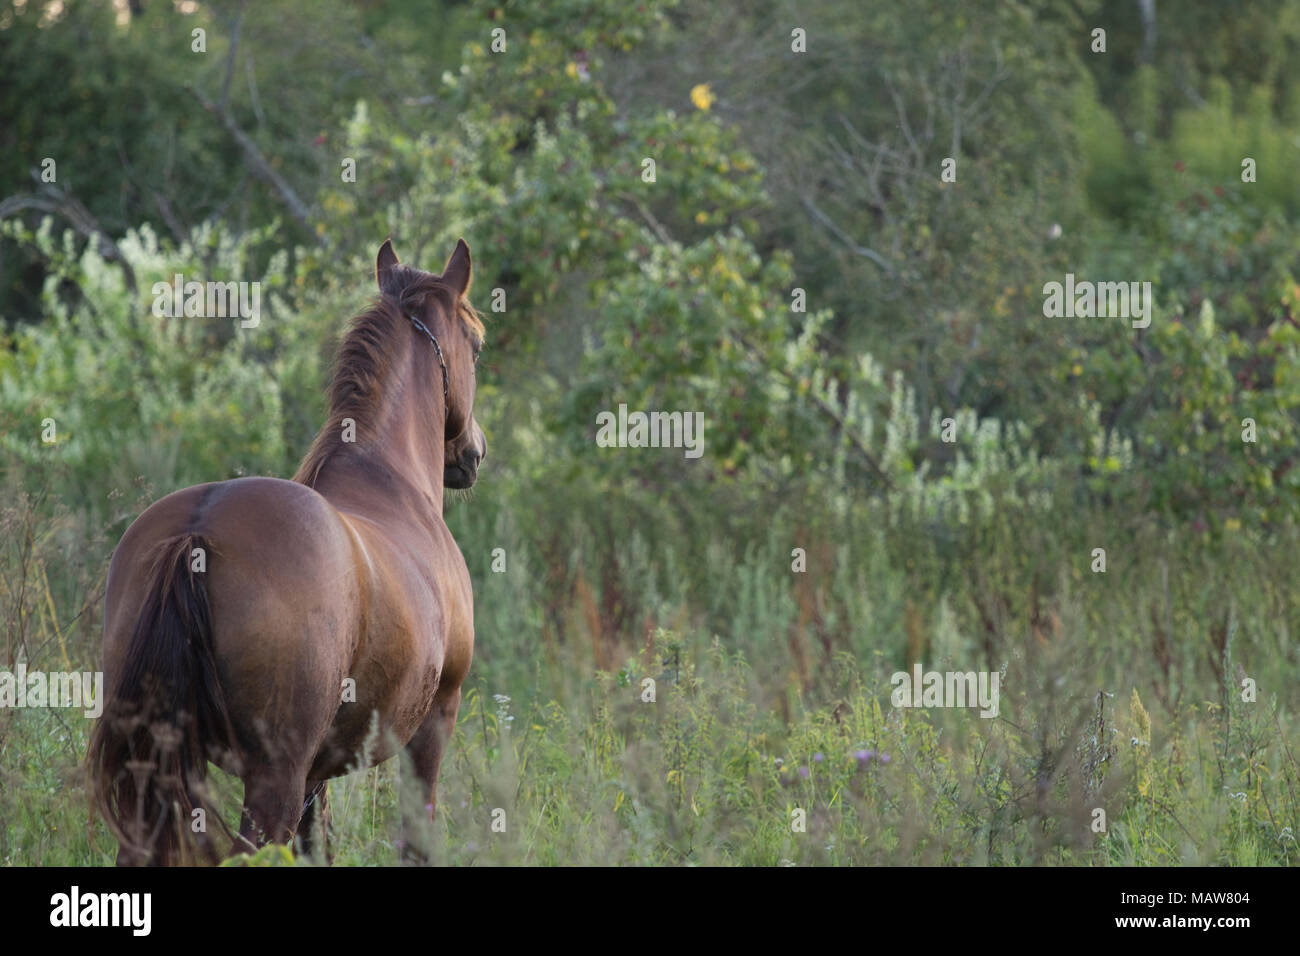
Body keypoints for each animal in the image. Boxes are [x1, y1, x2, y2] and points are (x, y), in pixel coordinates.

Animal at [86, 238, 487, 865]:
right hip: (272, 779)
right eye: (477, 343)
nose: (474, 453)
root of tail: (197, 533)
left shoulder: (318, 771)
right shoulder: (432, 725)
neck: (389, 477)